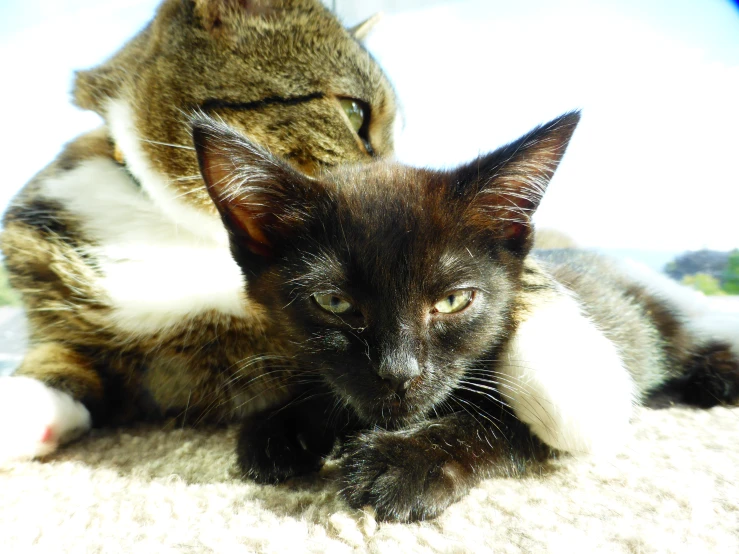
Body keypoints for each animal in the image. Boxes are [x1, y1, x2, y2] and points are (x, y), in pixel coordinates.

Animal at [192, 113, 739, 520]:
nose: (398, 372)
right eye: (334, 303)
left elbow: (504, 421)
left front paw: (404, 461)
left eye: (454, 301)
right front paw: (283, 425)